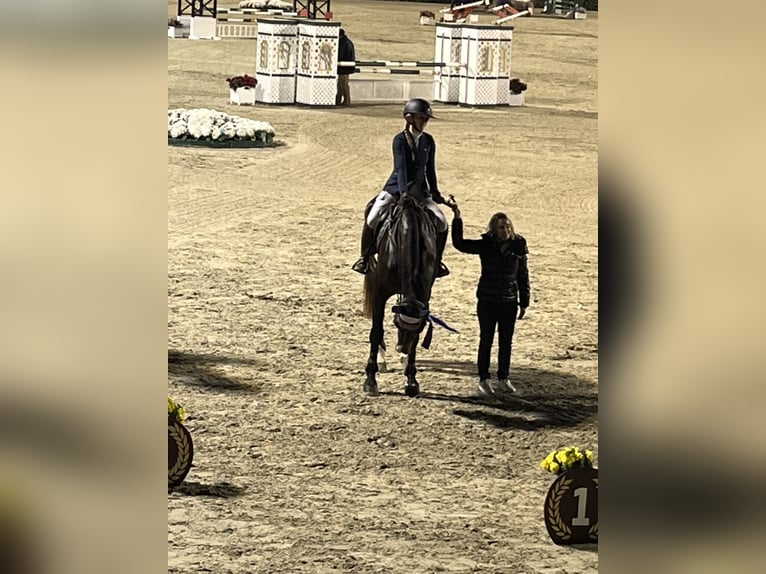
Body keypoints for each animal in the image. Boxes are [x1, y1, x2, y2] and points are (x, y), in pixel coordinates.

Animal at [362, 188, 439, 397]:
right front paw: (370, 380)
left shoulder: (424, 295)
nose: (401, 348)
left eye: (419, 328)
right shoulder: (379, 292)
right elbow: (376, 332)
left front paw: (411, 379)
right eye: (396, 323)